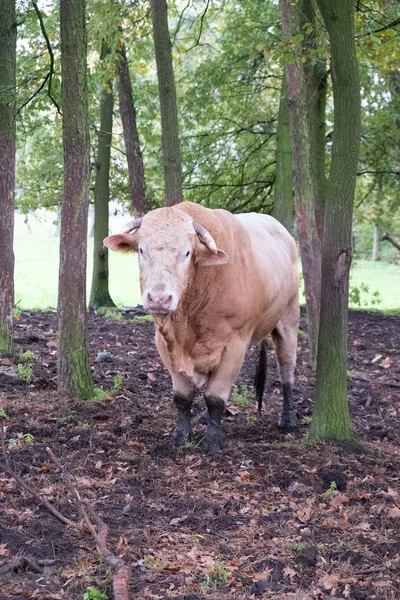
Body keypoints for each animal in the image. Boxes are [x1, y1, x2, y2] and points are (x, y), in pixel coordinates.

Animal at [104, 204, 298, 452]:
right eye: (141, 249)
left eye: (187, 252)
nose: (159, 298)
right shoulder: (164, 344)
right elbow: (182, 397)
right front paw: (180, 436)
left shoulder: (235, 344)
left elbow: (215, 397)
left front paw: (212, 442)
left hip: (289, 318)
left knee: (286, 370)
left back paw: (287, 420)